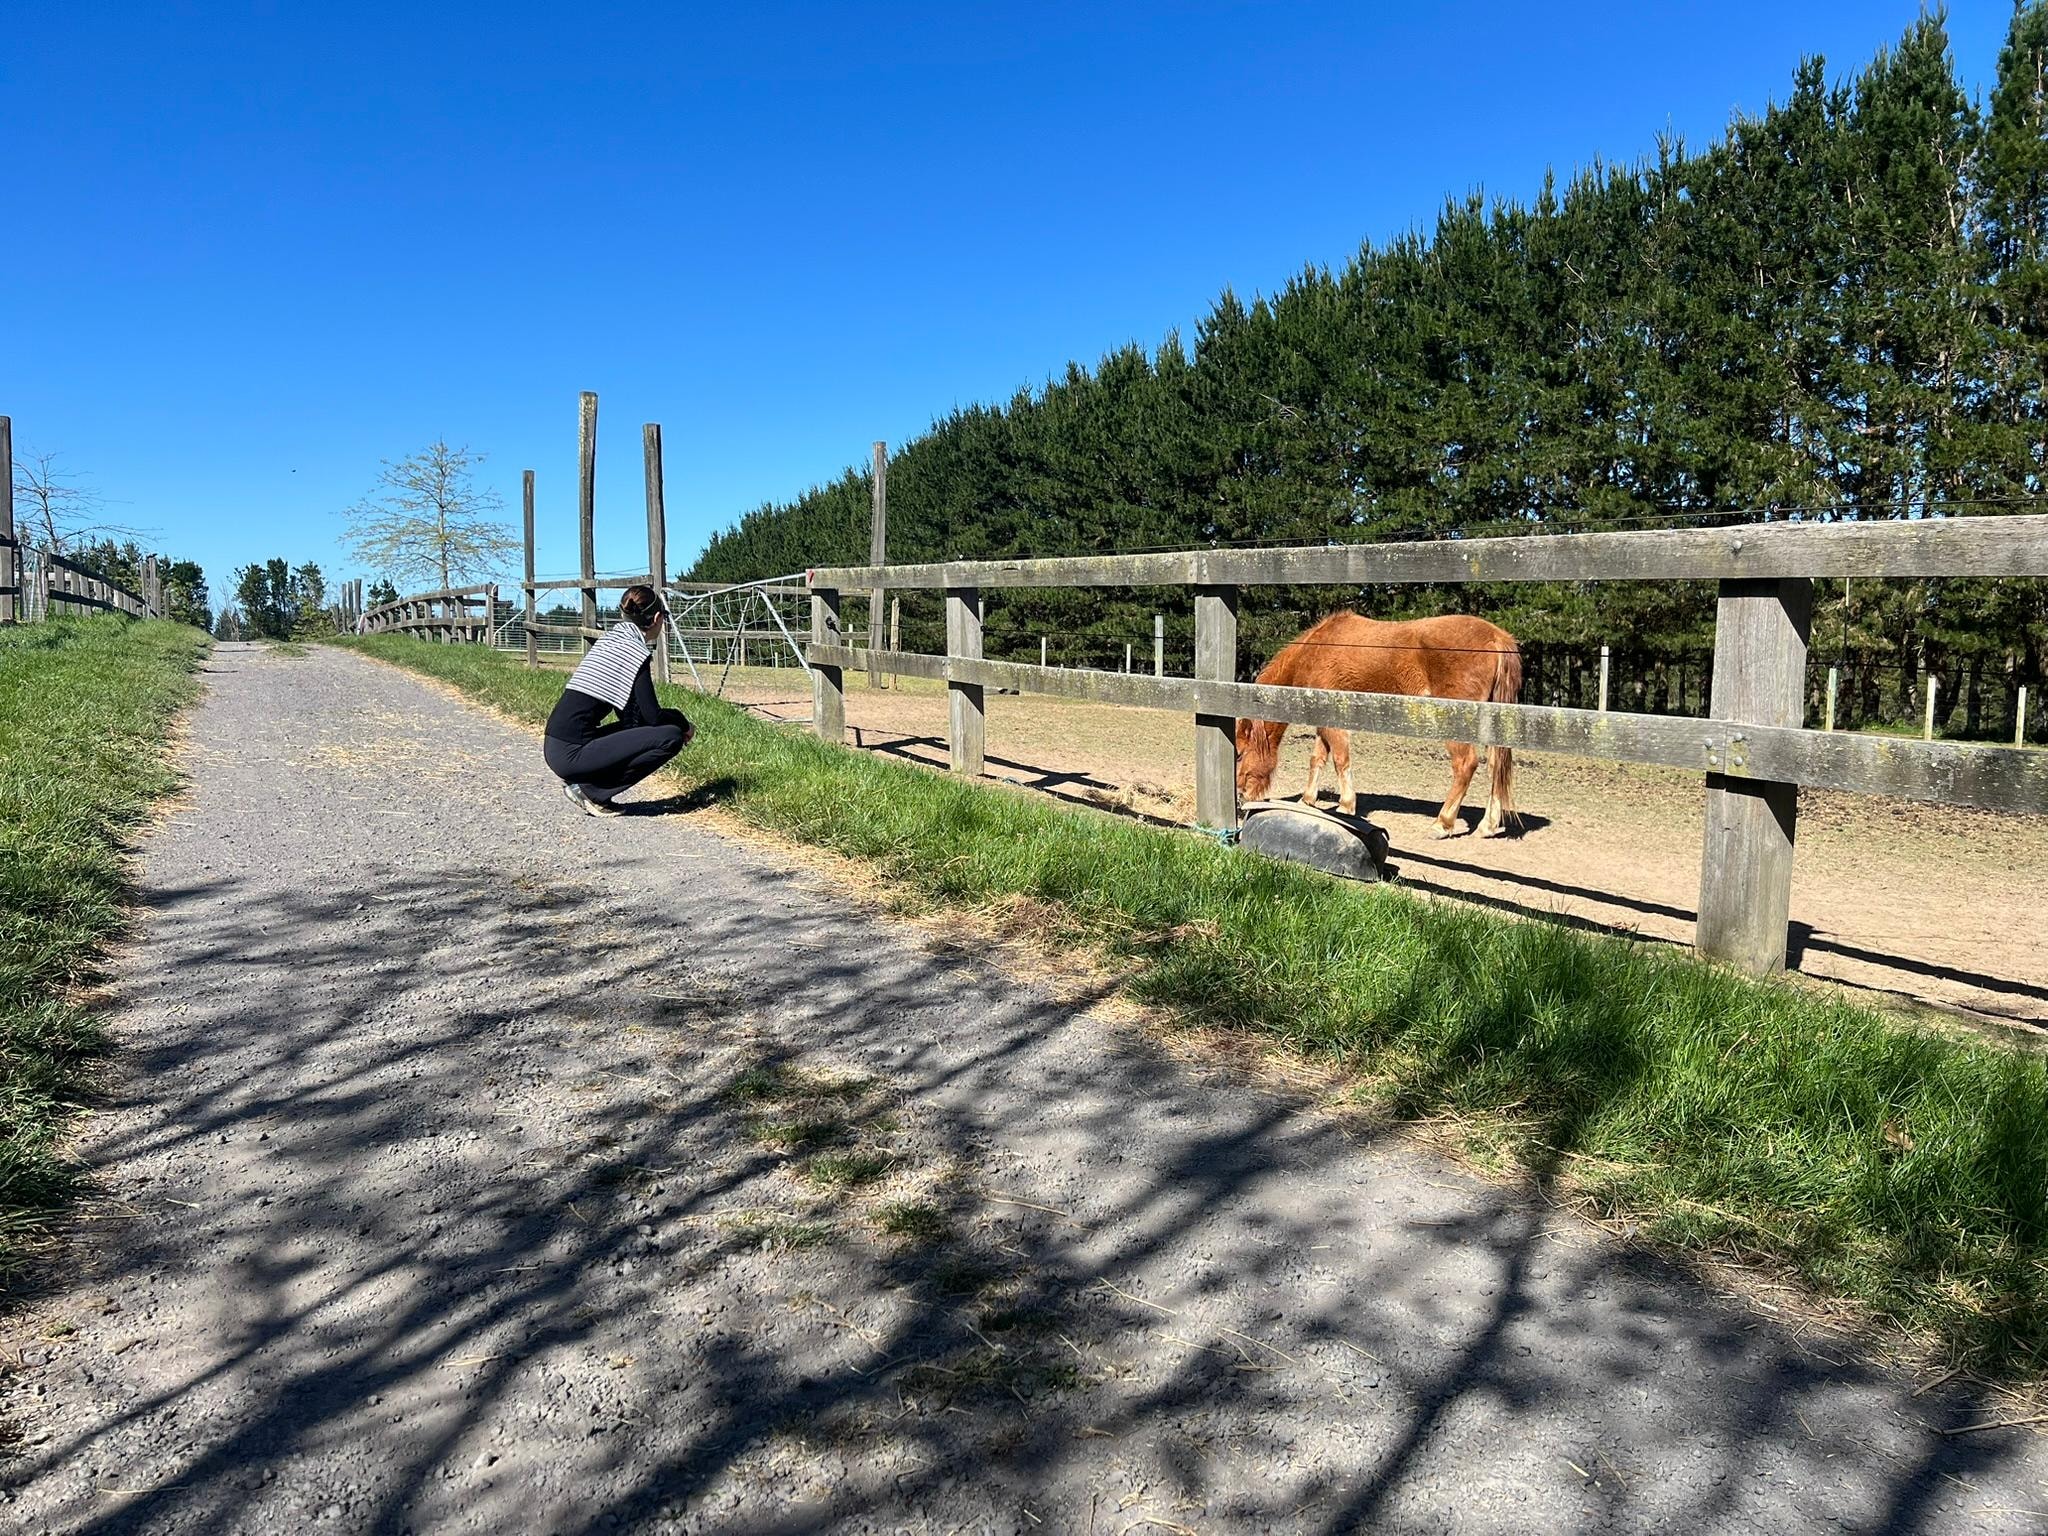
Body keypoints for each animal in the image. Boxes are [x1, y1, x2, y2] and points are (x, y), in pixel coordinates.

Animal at [1234, 611, 1523, 838]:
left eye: (1239, 754)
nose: (1240, 794)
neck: (1315, 650)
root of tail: (1497, 638)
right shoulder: (1322, 722)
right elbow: (1317, 759)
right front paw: (1307, 800)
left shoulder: (1334, 723)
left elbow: (1340, 760)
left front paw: (1345, 807)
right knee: (1496, 766)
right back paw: (1487, 825)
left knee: (1466, 765)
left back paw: (1442, 824)